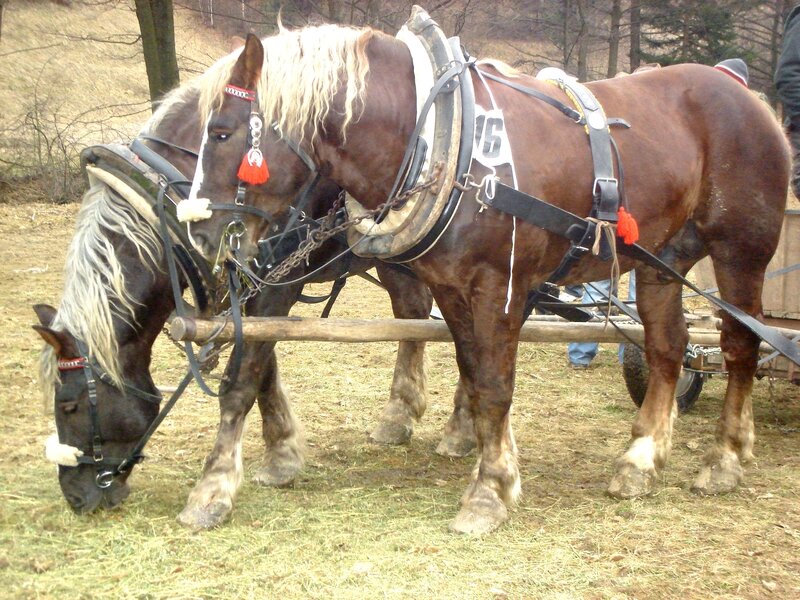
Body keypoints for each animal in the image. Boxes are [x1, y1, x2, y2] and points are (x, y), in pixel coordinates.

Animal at [34, 61, 477, 530]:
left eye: (68, 406)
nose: (75, 496)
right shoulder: (250, 287)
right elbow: (263, 368)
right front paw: (282, 453)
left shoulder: (283, 278)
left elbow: (242, 378)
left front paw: (214, 489)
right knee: (415, 312)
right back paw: (403, 415)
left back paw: (460, 427)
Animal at [183, 20, 790, 534]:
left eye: (222, 133)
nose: (201, 234)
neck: (443, 138)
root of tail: (748, 96)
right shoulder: (451, 288)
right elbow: (474, 374)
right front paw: (493, 462)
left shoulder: (501, 287)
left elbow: (495, 386)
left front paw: (489, 491)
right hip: (662, 262)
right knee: (668, 348)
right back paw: (640, 461)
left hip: (740, 254)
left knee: (740, 345)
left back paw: (726, 457)